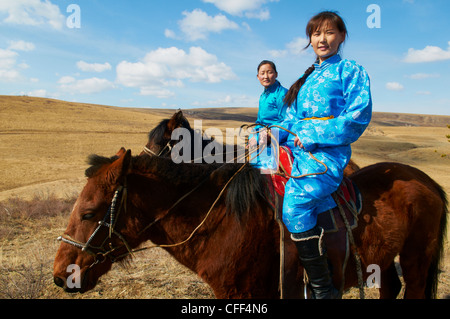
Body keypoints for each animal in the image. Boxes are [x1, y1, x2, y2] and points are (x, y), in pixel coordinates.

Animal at [52, 149, 446, 298]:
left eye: (88, 214)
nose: (60, 275)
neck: (222, 221)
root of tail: (427, 181)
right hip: (382, 259)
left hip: (417, 259)